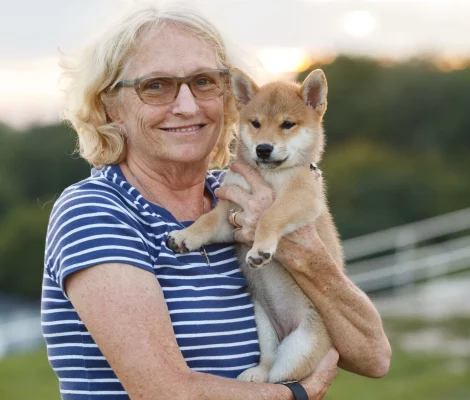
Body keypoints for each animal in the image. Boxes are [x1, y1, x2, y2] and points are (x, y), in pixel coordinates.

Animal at [167, 68, 344, 382]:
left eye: (287, 124)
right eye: (256, 123)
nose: (263, 149)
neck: (270, 176)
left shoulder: (301, 198)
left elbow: (271, 216)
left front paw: (260, 249)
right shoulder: (230, 211)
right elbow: (206, 220)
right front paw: (185, 236)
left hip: (299, 349)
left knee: (284, 379)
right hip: (264, 324)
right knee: (268, 365)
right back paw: (256, 373)